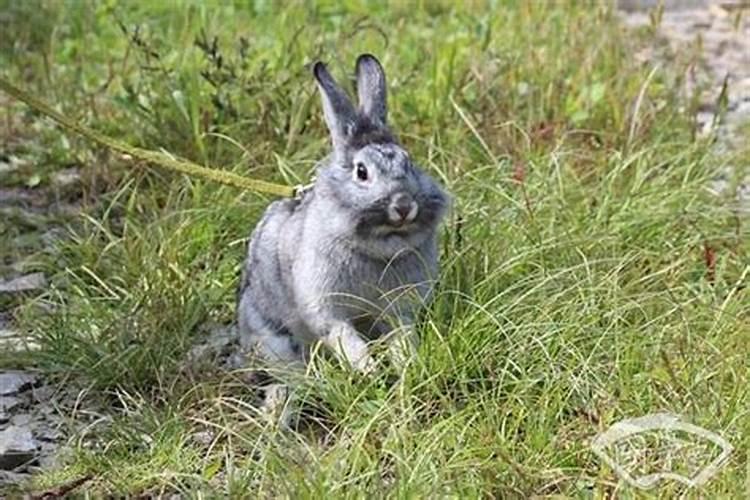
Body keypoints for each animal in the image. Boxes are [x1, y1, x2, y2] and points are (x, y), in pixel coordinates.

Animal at [238, 52, 450, 424]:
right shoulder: (325, 307)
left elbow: (402, 336)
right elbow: (342, 335)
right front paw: (368, 370)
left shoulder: (399, 311)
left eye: (409, 163)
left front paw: (406, 365)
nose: (403, 206)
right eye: (361, 172)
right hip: (275, 340)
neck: (378, 248)